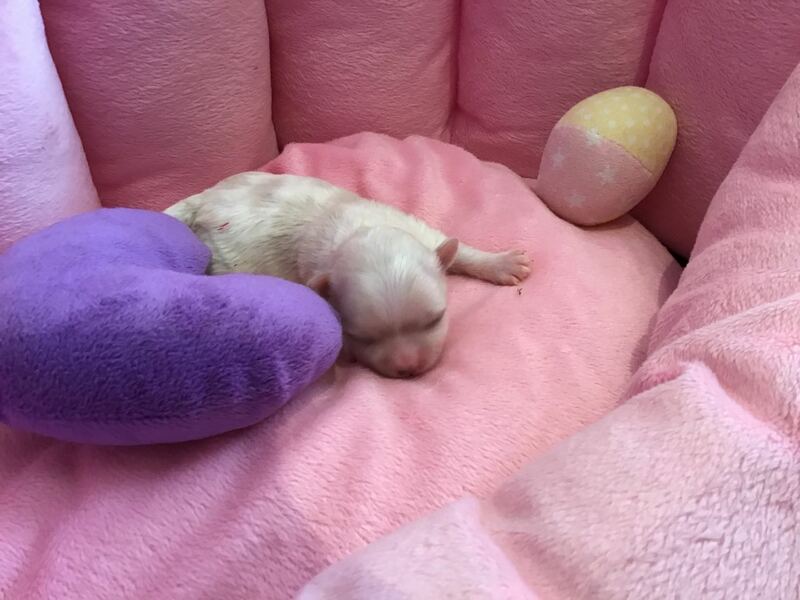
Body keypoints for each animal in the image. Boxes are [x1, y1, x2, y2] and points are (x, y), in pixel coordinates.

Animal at [164, 172, 531, 378]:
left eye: (435, 320)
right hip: (227, 257)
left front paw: (502, 263)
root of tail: (204, 198)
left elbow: (457, 248)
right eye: (361, 337)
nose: (407, 368)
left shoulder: (421, 232)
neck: (361, 230)